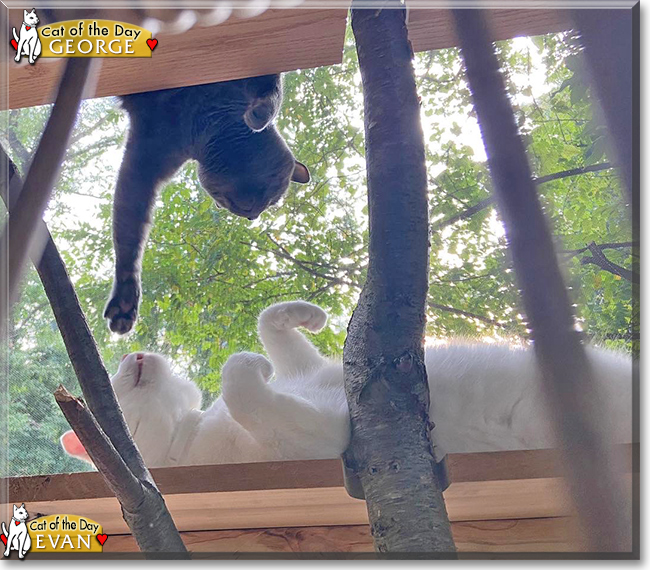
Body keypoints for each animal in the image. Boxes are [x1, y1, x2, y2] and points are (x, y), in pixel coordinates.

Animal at [59, 300, 628, 464]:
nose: (131, 353)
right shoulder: (325, 437)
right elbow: (239, 381)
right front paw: (250, 362)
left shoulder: (305, 372)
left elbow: (271, 328)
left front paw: (304, 316)